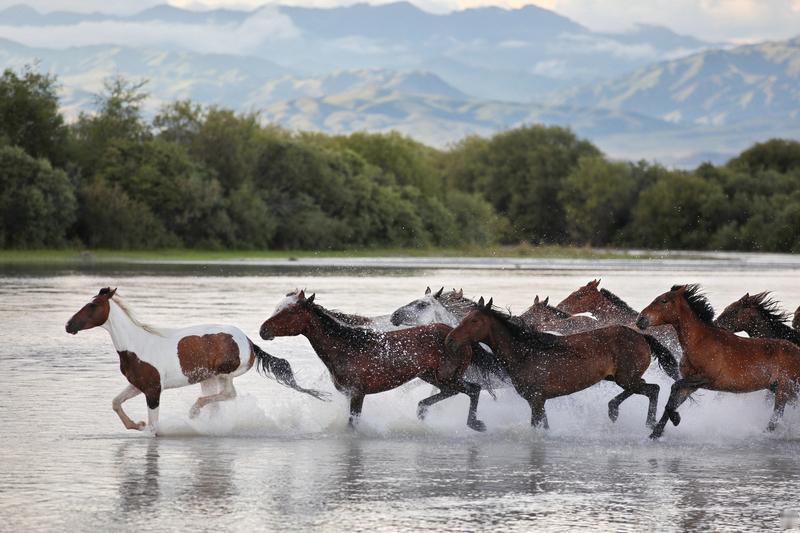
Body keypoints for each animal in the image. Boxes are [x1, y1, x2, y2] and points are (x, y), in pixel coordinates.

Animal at [65, 288, 327, 434]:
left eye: (92, 305)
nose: (68, 325)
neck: (137, 346)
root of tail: (249, 342)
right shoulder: (138, 385)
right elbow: (115, 403)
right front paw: (135, 424)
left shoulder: (153, 390)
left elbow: (153, 429)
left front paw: (144, 426)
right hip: (208, 378)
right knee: (217, 404)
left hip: (224, 375)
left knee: (228, 395)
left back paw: (193, 412)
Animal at [259, 290, 488, 431]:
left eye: (289, 311)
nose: (263, 330)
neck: (346, 347)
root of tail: (458, 335)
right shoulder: (348, 394)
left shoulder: (358, 393)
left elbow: (353, 424)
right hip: (432, 376)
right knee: (451, 392)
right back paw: (422, 412)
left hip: (447, 377)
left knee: (473, 389)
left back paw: (475, 424)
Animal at [445, 297, 678, 429]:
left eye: (474, 320)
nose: (450, 339)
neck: (525, 353)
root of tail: (642, 336)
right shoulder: (538, 401)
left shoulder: (537, 400)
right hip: (618, 378)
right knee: (646, 388)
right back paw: (616, 411)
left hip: (626, 378)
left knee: (653, 389)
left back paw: (648, 421)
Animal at [636, 284, 800, 439]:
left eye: (663, 300)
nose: (640, 319)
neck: (699, 342)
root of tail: (797, 350)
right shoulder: (690, 385)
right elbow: (672, 401)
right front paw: (655, 434)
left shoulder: (706, 378)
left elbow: (675, 386)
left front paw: (675, 419)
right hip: (780, 389)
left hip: (784, 389)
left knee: (775, 420)